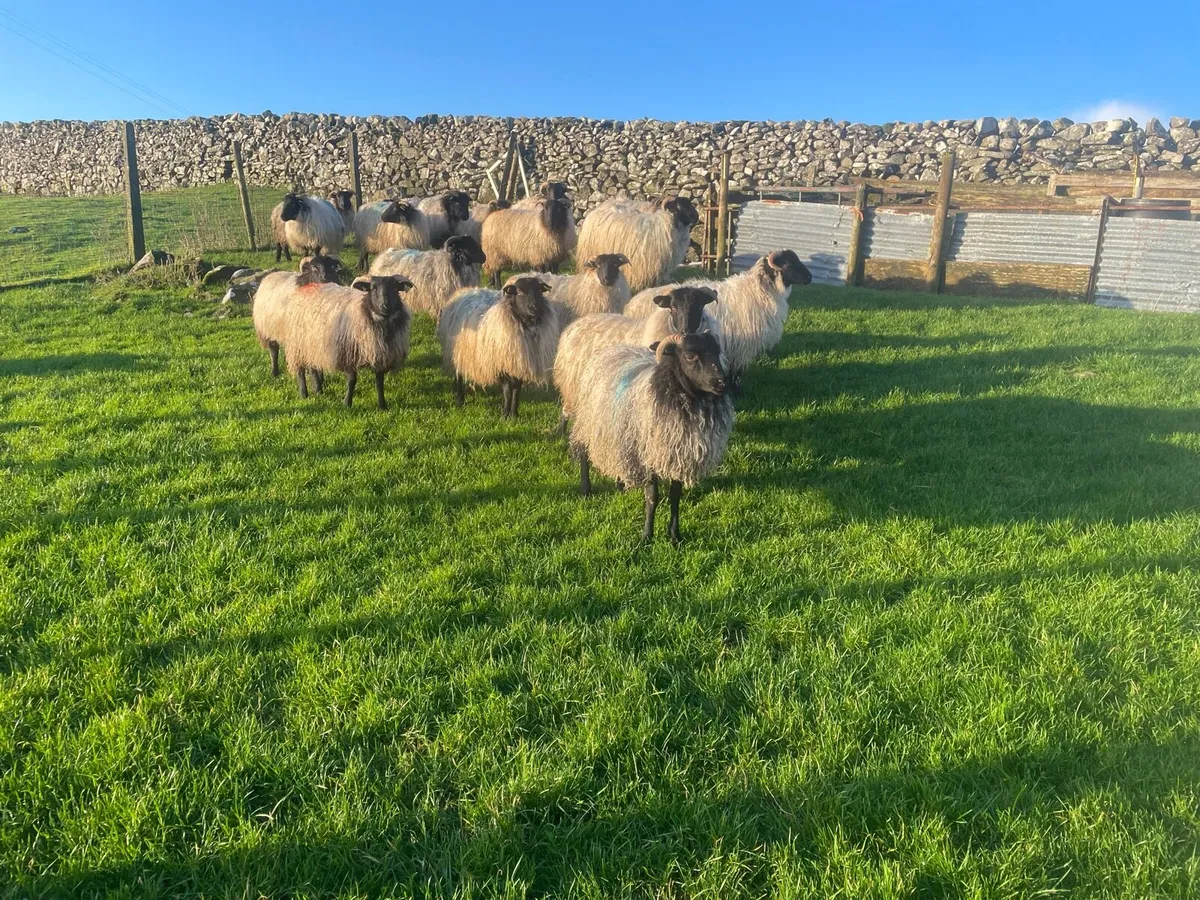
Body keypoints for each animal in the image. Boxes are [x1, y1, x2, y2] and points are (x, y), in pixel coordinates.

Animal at [281, 275, 413, 410]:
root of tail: (306, 287)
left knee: (313, 366)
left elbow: (379, 383)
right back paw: (304, 394)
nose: (385, 306)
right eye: (373, 288)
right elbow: (352, 381)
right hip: (297, 344)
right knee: (300, 370)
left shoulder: (380, 355)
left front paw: (382, 406)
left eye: (395, 289)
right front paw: (347, 403)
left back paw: (318, 390)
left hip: (311, 345)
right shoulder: (349, 354)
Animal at [437, 276, 560, 418]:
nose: (534, 307)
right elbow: (507, 391)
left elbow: (517, 390)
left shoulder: (519, 364)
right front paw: (505, 415)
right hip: (458, 353)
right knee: (459, 376)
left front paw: (514, 414)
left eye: (539, 291)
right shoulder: (501, 365)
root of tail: (465, 290)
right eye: (519, 292)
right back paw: (460, 399)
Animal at [552, 285, 719, 432]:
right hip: (572, 382)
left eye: (700, 306)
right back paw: (560, 431)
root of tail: (575, 325)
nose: (686, 331)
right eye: (673, 307)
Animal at [569, 331, 733, 545]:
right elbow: (652, 497)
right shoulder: (649, 455)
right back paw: (586, 489)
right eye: (690, 356)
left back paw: (620, 484)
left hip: (619, 434)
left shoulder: (677, 455)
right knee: (583, 453)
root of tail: (610, 350)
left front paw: (675, 536)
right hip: (589, 423)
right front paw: (646, 536)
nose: (723, 382)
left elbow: (675, 497)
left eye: (717, 351)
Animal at [623, 249, 812, 382]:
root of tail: (631, 304)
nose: (810, 278)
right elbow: (737, 373)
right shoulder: (741, 347)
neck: (760, 290)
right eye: (788, 264)